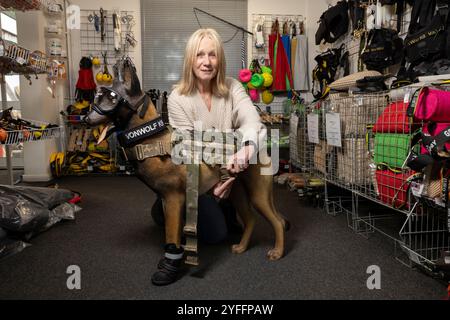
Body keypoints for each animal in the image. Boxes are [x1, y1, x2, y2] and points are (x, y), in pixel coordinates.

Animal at [84, 57, 288, 284]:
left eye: (111, 98)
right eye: (98, 94)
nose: (86, 118)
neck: (153, 139)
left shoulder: (174, 199)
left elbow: (171, 237)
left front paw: (169, 267)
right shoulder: (168, 202)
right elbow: (174, 232)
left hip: (258, 194)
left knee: (278, 222)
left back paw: (277, 252)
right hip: (237, 192)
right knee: (252, 219)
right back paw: (242, 247)